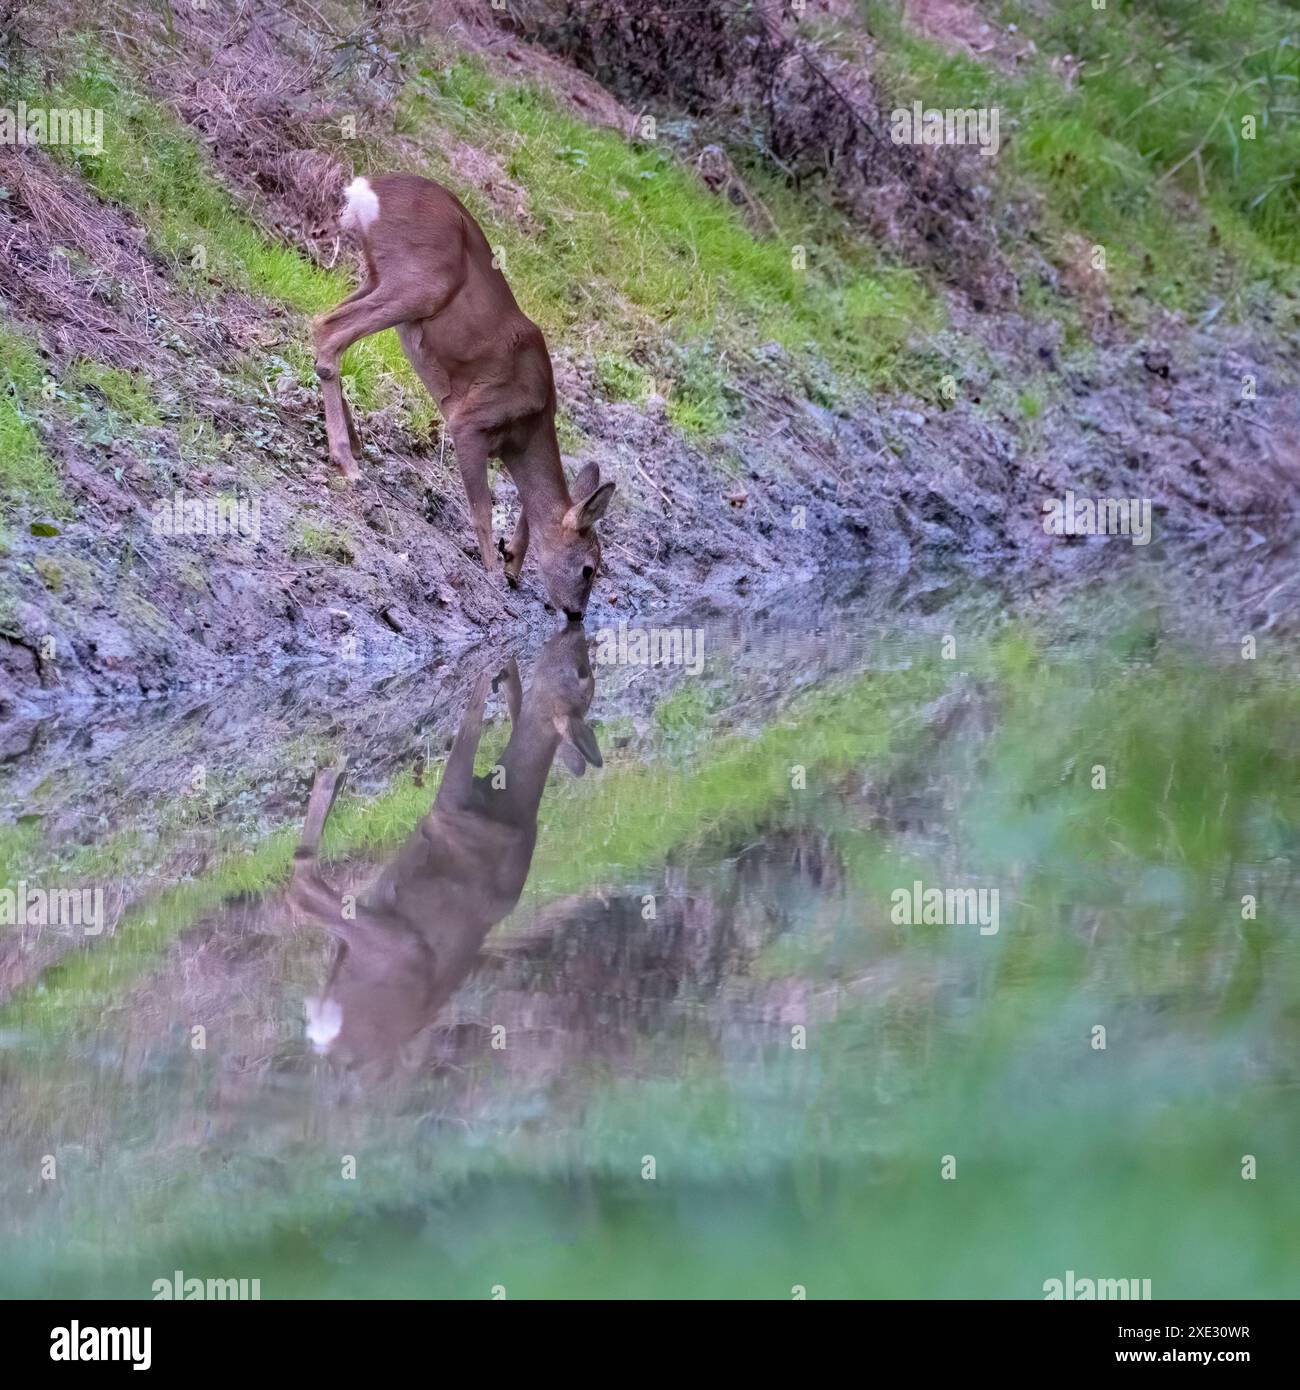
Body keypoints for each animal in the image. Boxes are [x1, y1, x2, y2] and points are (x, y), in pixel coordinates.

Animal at [287, 622, 603, 1073]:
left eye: (581, 673)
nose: (577, 630)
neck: (510, 800)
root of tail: (330, 1041)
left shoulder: (448, 805)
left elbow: (469, 724)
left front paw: (492, 666)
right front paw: (508, 669)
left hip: (402, 947)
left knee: (302, 888)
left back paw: (330, 778)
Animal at [317, 173, 620, 619]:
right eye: (588, 569)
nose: (576, 614)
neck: (526, 430)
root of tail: (365, 188)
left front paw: (512, 564)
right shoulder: (471, 421)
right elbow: (482, 508)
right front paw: (493, 570)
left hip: (378, 275)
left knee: (327, 322)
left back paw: (351, 446)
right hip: (420, 283)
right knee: (327, 329)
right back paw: (346, 460)